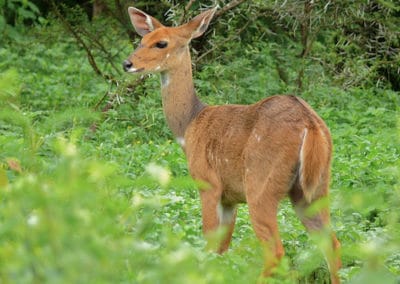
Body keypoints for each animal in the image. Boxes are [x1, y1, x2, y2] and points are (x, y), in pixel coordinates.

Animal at [122, 5, 340, 282]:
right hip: (314, 188)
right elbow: (221, 248)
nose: (127, 63)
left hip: (261, 185)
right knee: (331, 243)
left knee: (276, 251)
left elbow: (208, 244)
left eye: (161, 43)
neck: (190, 125)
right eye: (142, 40)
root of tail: (310, 125)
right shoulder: (230, 198)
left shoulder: (208, 183)